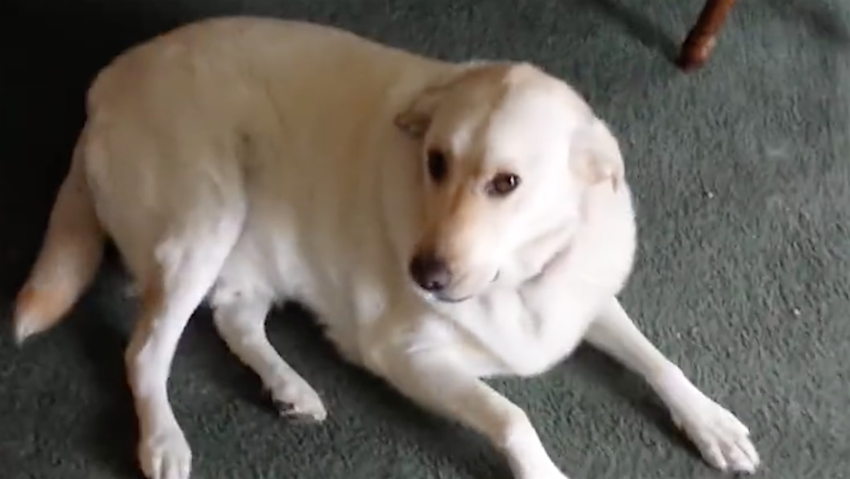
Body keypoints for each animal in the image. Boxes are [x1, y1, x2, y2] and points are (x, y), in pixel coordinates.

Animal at [12, 16, 760, 479]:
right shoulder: (407, 355)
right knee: (145, 353)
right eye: (435, 161)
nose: (423, 274)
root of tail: (104, 85)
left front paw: (710, 421)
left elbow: (656, 359)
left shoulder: (582, 295)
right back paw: (164, 438)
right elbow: (513, 417)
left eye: (506, 182)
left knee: (235, 318)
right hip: (205, 218)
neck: (514, 279)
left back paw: (288, 384)